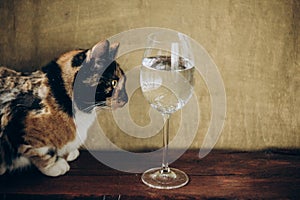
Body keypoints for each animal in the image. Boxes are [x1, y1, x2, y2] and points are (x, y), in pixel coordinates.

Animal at [0, 39, 127, 177]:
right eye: (114, 82)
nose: (126, 99)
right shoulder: (20, 130)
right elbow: (42, 153)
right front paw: (55, 166)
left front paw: (69, 153)